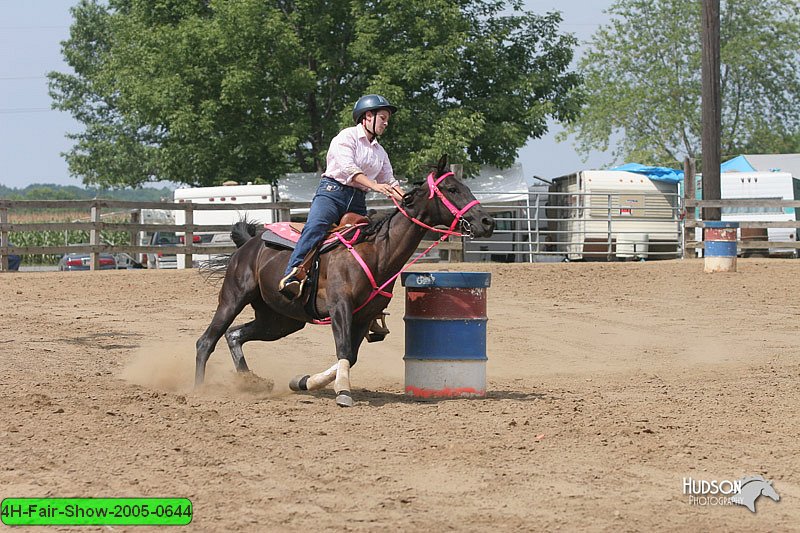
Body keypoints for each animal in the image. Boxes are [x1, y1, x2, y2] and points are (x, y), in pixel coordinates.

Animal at [195, 156, 494, 406]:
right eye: (452, 189)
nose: (487, 221)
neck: (378, 251)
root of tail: (248, 244)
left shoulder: (365, 315)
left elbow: (350, 355)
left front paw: (305, 382)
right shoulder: (340, 307)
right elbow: (343, 348)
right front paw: (343, 393)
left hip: (280, 320)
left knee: (235, 335)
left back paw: (251, 381)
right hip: (233, 298)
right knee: (207, 341)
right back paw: (199, 389)